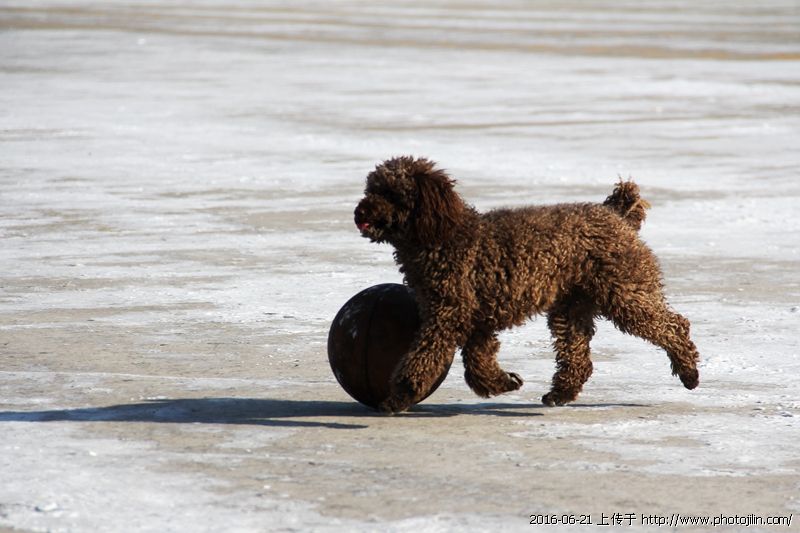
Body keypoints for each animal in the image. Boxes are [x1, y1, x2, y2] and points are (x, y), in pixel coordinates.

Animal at [354, 156, 699, 413]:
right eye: (371, 189)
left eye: (392, 194)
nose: (360, 211)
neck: (441, 236)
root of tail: (615, 215)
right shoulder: (473, 319)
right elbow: (477, 362)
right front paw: (503, 383)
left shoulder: (448, 314)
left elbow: (423, 358)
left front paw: (401, 395)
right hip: (572, 307)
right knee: (577, 356)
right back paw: (560, 393)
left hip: (624, 291)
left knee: (673, 326)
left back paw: (689, 372)